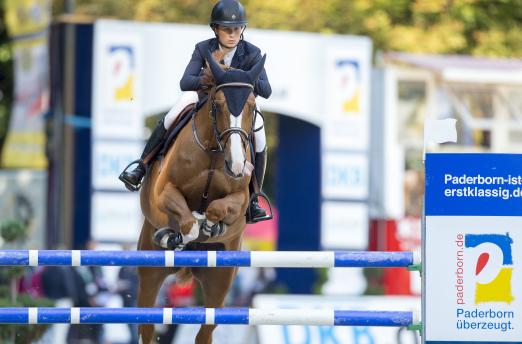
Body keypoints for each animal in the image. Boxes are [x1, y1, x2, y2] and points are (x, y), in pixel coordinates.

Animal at [135, 51, 264, 344]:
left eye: (251, 106)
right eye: (218, 105)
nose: (237, 165)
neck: (216, 153)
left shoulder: (240, 199)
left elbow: (218, 209)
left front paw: (211, 225)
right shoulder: (163, 194)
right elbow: (187, 221)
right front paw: (180, 233)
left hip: (221, 280)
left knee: (206, 331)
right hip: (149, 271)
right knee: (146, 325)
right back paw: (170, 238)